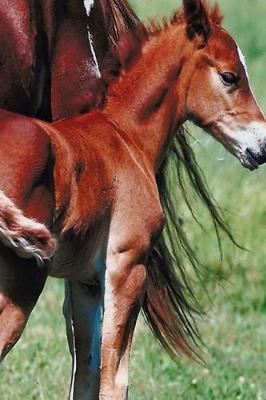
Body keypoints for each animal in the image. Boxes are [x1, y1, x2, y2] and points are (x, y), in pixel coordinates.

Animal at [0, 0, 266, 400]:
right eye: (230, 76)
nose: (261, 146)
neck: (125, 135)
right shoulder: (128, 268)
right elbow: (114, 377)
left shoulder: (86, 283)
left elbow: (87, 372)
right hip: (22, 280)